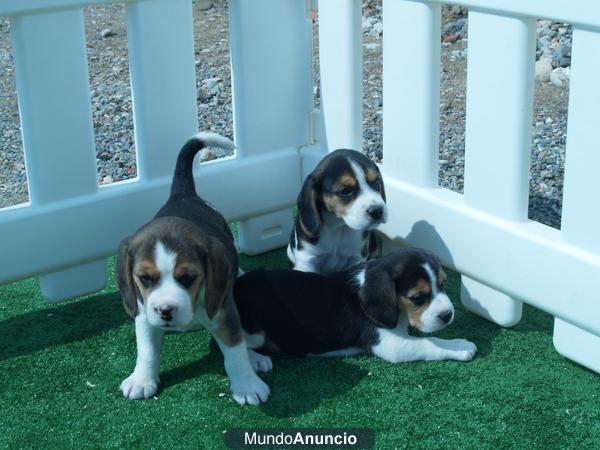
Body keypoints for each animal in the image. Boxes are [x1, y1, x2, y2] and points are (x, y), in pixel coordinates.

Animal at [114, 132, 272, 406]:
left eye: (188, 277)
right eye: (144, 278)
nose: (165, 310)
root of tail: (182, 194)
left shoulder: (224, 312)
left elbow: (236, 351)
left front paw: (247, 385)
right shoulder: (143, 314)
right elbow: (147, 350)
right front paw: (142, 380)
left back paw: (255, 358)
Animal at [234, 248, 478, 364]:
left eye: (443, 283)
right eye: (417, 297)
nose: (447, 315)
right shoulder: (390, 345)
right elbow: (428, 342)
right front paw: (459, 346)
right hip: (255, 331)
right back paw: (257, 361)